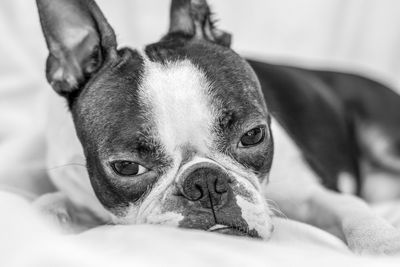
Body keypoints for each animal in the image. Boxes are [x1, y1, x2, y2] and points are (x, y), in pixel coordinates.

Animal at [35, 0, 400, 255]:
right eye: (126, 167)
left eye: (253, 135)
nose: (206, 182)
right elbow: (50, 203)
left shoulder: (311, 193)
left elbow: (352, 208)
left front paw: (383, 245)